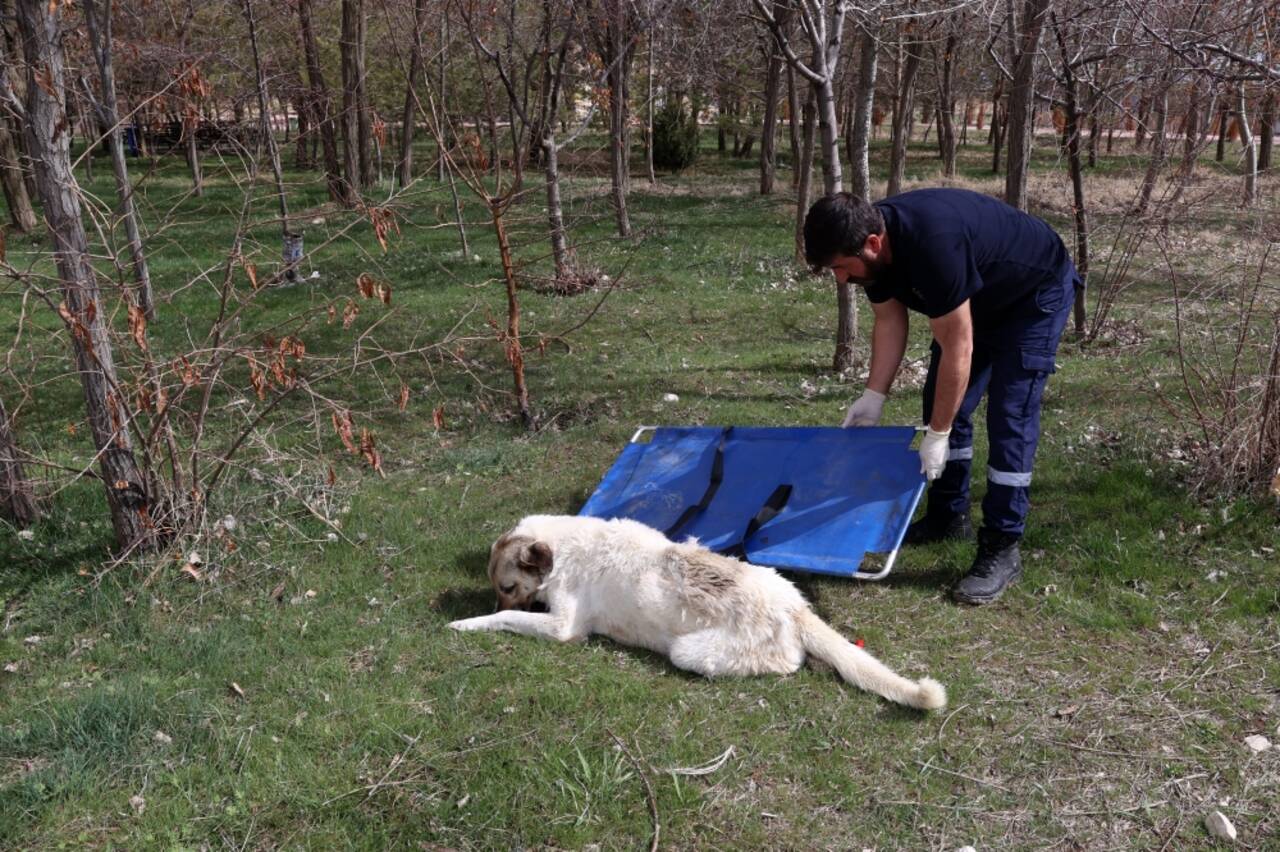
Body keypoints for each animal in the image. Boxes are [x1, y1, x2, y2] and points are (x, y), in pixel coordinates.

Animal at [450, 514, 952, 706]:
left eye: (507, 586)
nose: (490, 598)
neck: (562, 546)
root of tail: (793, 605)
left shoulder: (561, 628)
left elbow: (508, 618)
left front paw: (468, 621)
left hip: (690, 652)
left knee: (789, 661)